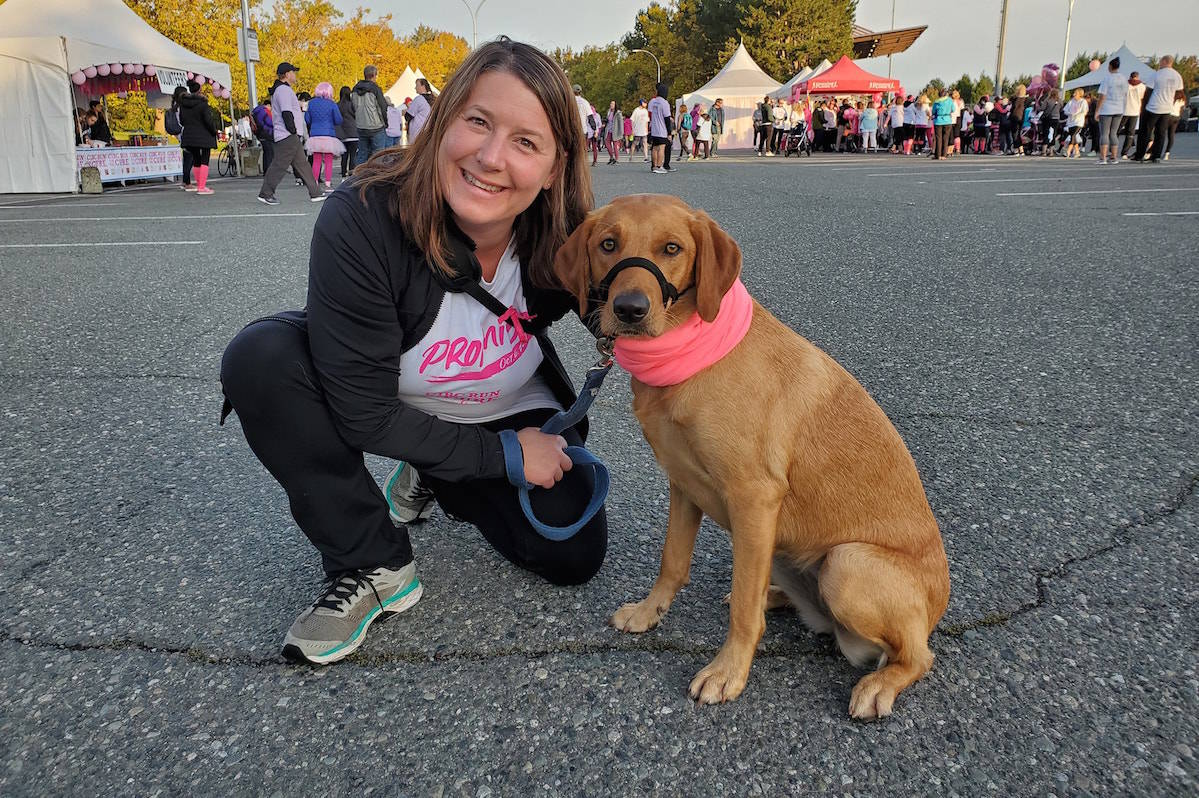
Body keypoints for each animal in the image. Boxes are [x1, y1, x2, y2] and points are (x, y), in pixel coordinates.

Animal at [553, 192, 954, 714]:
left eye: (671, 248)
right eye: (607, 244)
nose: (629, 309)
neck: (690, 358)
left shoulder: (754, 497)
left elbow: (743, 612)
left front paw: (728, 671)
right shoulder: (684, 485)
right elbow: (672, 562)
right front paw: (648, 612)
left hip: (846, 563)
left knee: (918, 656)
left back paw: (880, 683)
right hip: (786, 549)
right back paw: (779, 595)